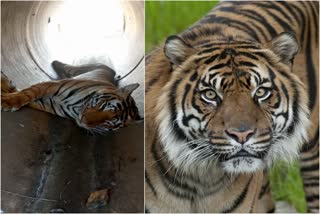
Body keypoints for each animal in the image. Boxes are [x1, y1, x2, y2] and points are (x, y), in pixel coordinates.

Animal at [0, 60, 141, 133]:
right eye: (103, 105)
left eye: (108, 123)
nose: (84, 121)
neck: (77, 108)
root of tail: (113, 73)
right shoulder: (52, 86)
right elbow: (28, 92)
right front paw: (8, 100)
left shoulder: (49, 104)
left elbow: (27, 97)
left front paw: (6, 94)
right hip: (82, 69)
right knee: (66, 66)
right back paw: (55, 63)